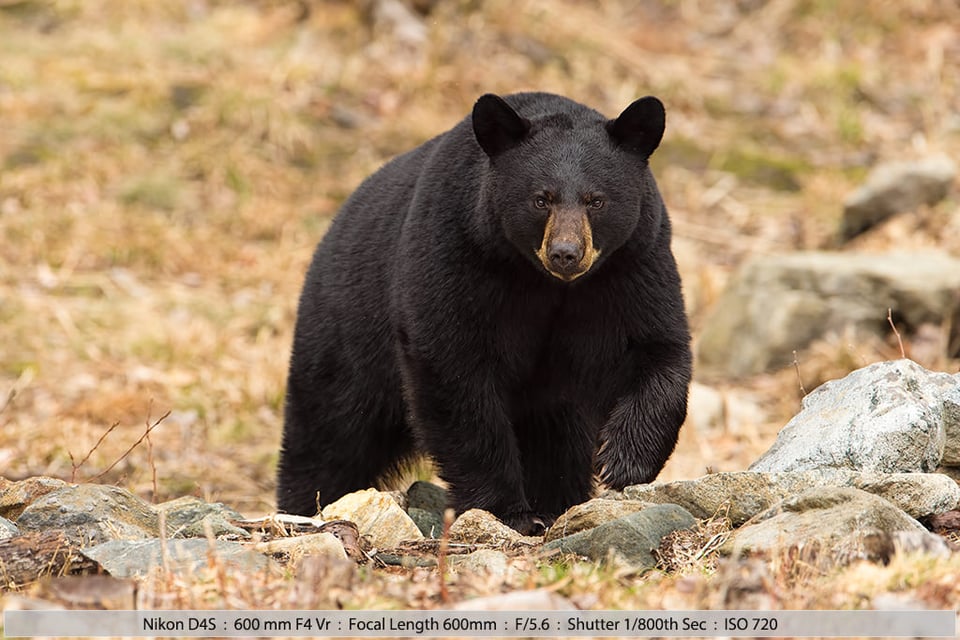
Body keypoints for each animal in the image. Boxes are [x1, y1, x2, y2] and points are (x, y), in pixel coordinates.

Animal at [276, 91, 688, 536]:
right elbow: (455, 377)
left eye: (597, 200)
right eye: (540, 199)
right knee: (329, 436)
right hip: (347, 339)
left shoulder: (632, 266)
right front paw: (508, 510)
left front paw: (623, 461)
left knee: (558, 434)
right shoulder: (458, 255)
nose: (565, 253)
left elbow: (655, 349)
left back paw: (558, 499)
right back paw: (305, 505)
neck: (547, 284)